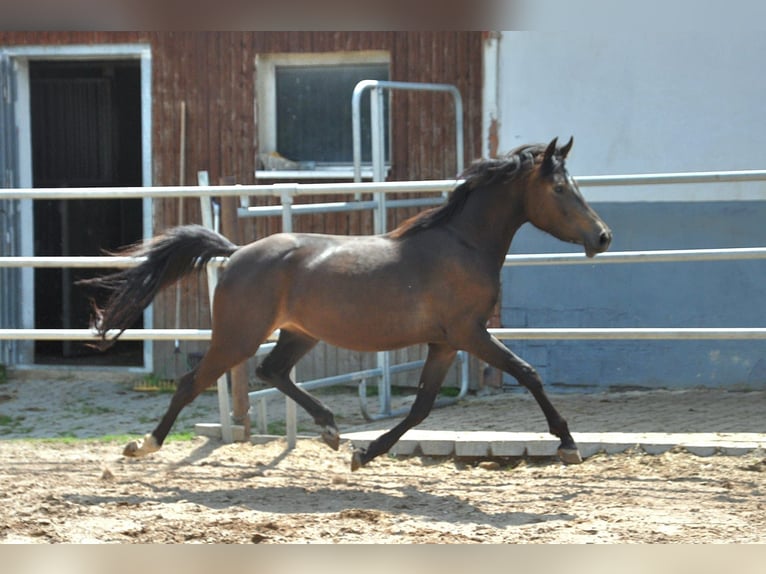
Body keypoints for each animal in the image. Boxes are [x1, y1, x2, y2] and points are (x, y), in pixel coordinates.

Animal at [80, 137, 612, 470]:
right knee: (193, 381)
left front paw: (364, 454)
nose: (603, 236)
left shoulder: (446, 343)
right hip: (237, 336)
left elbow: (421, 407)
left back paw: (333, 430)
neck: (462, 244)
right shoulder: (470, 334)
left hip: (298, 333)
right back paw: (143, 446)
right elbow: (528, 373)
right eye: (560, 188)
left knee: (273, 371)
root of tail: (235, 254)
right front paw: (568, 444)